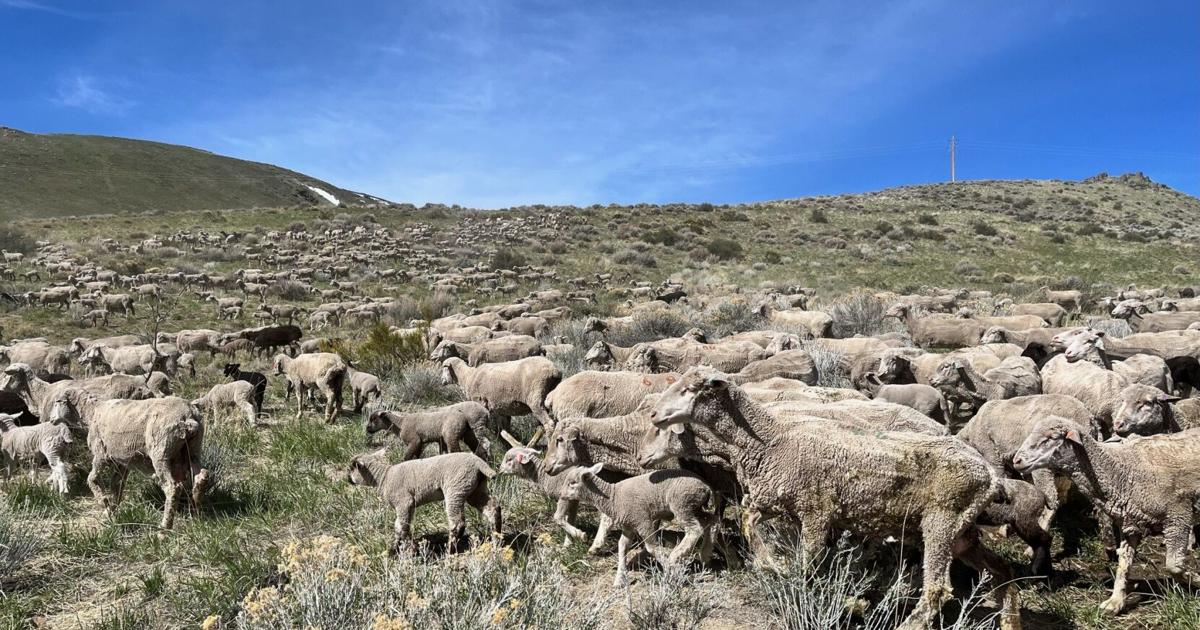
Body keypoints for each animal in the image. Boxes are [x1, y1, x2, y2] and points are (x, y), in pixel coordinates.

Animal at [48, 390, 208, 529]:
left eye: (57, 402)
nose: (51, 420)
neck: (91, 412)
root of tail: (189, 415)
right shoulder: (122, 461)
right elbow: (116, 485)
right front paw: (112, 512)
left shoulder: (100, 454)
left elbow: (92, 478)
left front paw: (104, 502)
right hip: (192, 450)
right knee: (200, 477)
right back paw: (197, 518)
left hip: (161, 451)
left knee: (172, 487)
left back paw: (164, 528)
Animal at [345, 449, 501, 553]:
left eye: (351, 468)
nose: (347, 479)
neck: (384, 477)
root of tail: (479, 463)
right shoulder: (410, 506)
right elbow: (400, 526)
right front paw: (397, 547)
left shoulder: (403, 502)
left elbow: (402, 527)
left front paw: (408, 550)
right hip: (475, 488)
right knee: (493, 508)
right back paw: (497, 538)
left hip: (456, 487)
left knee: (457, 522)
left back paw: (449, 550)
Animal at [560, 463, 715, 586]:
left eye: (572, 482)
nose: (561, 495)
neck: (612, 497)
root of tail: (706, 486)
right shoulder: (628, 526)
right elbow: (622, 546)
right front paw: (619, 579)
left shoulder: (643, 521)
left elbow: (652, 547)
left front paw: (671, 570)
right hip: (694, 505)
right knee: (710, 520)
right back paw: (706, 553)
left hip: (682, 503)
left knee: (695, 529)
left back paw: (675, 556)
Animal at [650, 367, 1021, 630]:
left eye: (690, 389)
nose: (654, 414)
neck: (773, 440)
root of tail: (989, 475)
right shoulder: (776, 500)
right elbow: (748, 521)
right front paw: (772, 563)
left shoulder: (817, 513)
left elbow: (807, 565)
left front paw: (803, 582)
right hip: (962, 532)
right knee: (1004, 574)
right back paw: (1010, 622)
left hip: (941, 522)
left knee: (936, 590)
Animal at [1013, 417, 1200, 615]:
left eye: (1051, 437)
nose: (1016, 460)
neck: (1122, 471)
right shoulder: (1130, 524)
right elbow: (1123, 564)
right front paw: (1115, 601)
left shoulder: (1178, 515)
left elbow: (1173, 566)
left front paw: (1196, 579)